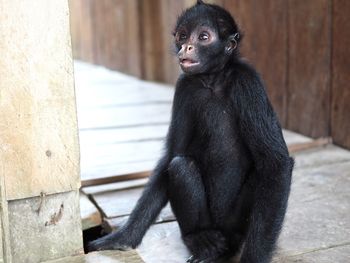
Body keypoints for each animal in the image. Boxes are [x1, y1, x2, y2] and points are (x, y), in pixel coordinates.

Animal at [89, 1, 294, 262]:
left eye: (203, 37)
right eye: (183, 36)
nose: (186, 47)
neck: (213, 80)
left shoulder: (248, 83)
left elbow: (276, 163)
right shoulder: (185, 86)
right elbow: (170, 156)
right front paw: (121, 238)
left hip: (233, 222)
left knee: (259, 174)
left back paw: (229, 244)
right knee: (180, 165)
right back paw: (200, 239)